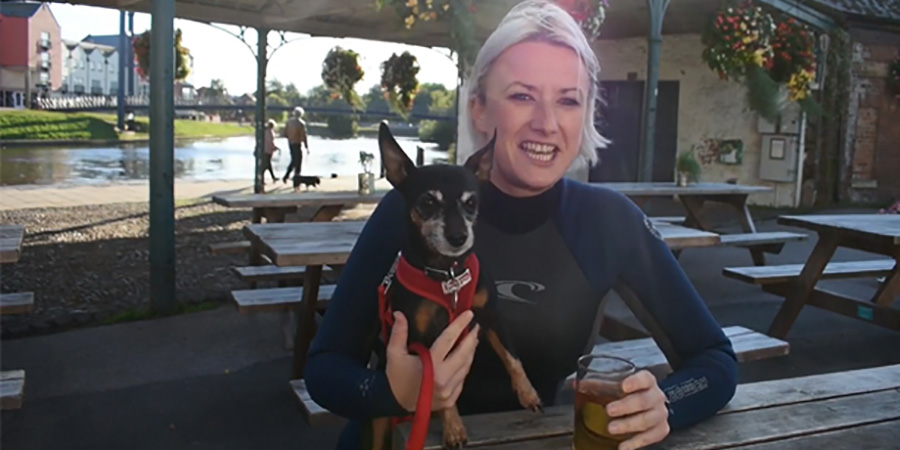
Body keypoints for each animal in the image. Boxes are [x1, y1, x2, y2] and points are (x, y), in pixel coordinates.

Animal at [366, 121, 540, 448]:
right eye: (427, 202)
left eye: (471, 203)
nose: (459, 237)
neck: (448, 277)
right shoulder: (423, 340)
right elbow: (440, 385)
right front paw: (454, 428)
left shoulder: (490, 315)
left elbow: (512, 357)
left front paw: (527, 392)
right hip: (379, 422)